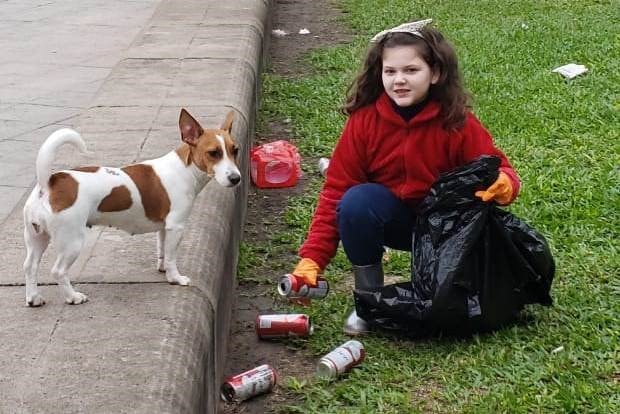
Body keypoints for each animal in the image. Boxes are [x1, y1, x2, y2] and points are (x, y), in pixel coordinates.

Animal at [21, 108, 240, 306]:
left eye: (235, 150)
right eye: (213, 153)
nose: (236, 178)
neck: (184, 169)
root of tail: (49, 182)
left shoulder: (165, 227)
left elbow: (162, 250)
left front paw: (163, 269)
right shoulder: (176, 227)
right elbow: (171, 257)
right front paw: (175, 278)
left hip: (36, 236)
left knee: (30, 266)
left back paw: (33, 298)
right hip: (71, 241)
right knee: (58, 271)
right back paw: (72, 297)